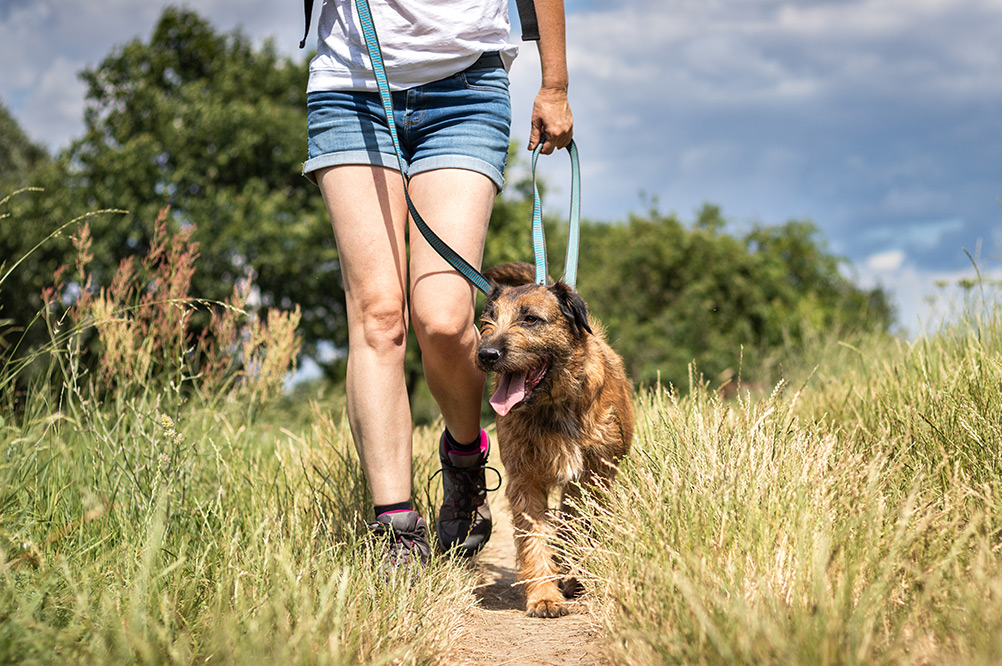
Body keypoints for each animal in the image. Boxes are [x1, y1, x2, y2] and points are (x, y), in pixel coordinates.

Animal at [476, 262, 633, 616]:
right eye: (488, 320)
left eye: (530, 319)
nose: (486, 354)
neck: (554, 405)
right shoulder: (525, 480)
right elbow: (534, 538)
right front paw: (544, 596)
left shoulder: (593, 477)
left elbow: (582, 526)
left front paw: (574, 577)